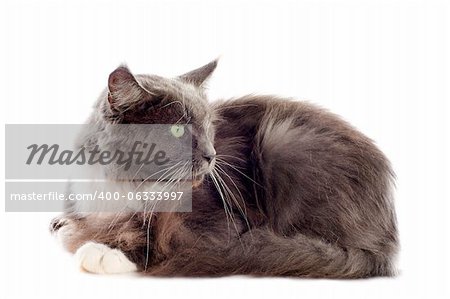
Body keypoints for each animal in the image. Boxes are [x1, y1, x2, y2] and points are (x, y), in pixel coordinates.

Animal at [51, 61, 400, 278]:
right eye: (177, 130)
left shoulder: (221, 225)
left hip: (285, 140)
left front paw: (103, 251)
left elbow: (161, 237)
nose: (212, 155)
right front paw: (66, 226)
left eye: (208, 127)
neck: (127, 185)